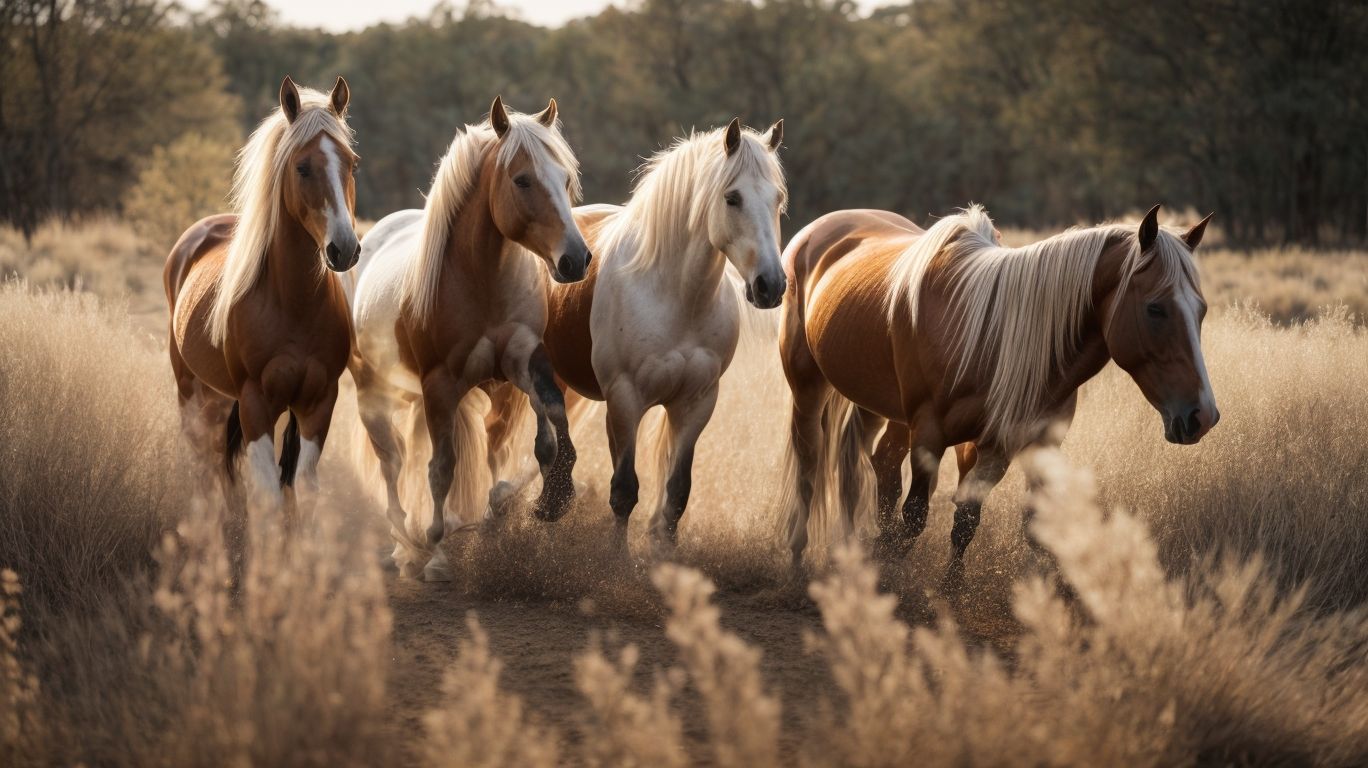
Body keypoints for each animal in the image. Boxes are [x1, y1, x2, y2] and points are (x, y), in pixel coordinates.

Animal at [165, 76, 359, 523]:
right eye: (302, 167)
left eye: (352, 163)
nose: (344, 248)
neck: (293, 304)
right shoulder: (256, 404)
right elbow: (268, 496)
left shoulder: (318, 402)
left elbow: (301, 490)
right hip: (191, 394)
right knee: (205, 471)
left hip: (221, 400)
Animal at [348, 96, 589, 581]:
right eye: (522, 179)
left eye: (565, 178)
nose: (576, 260)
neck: (483, 282)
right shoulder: (441, 384)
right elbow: (442, 469)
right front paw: (438, 552)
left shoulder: (524, 363)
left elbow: (549, 432)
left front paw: (551, 499)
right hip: (377, 396)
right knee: (393, 463)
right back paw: (405, 544)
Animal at [482, 118, 787, 556]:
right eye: (733, 198)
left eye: (777, 198)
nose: (771, 286)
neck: (674, 296)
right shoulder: (625, 401)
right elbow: (624, 491)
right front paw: (617, 562)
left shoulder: (696, 403)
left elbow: (677, 493)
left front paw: (665, 558)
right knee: (512, 434)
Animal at [779, 204, 1218, 572]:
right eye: (1155, 309)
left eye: (1201, 309)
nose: (1203, 416)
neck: (994, 336)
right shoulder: (931, 435)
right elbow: (917, 515)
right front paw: (894, 581)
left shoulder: (1017, 443)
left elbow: (981, 524)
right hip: (809, 388)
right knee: (810, 461)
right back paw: (799, 557)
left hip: (884, 408)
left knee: (881, 463)